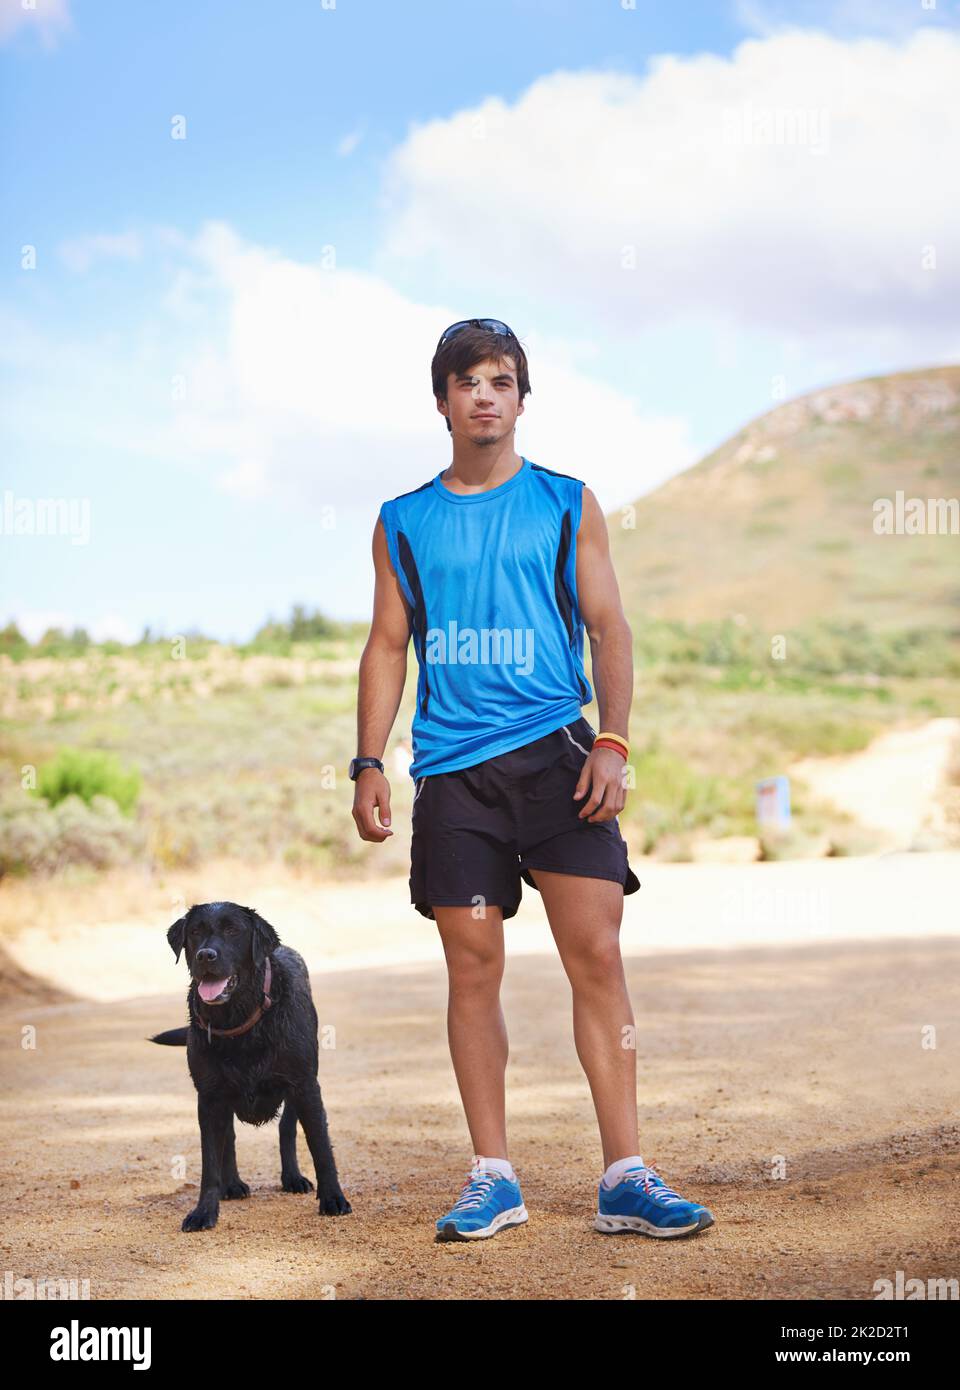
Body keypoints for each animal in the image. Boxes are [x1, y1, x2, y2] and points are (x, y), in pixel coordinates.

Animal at [152, 900, 352, 1239]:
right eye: (195, 932)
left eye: (233, 930)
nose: (205, 955)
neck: (241, 1020)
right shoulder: (209, 1098)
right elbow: (210, 1161)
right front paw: (204, 1211)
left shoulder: (305, 1085)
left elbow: (321, 1147)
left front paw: (333, 1198)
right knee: (229, 1139)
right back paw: (232, 1184)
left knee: (287, 1128)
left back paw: (292, 1177)